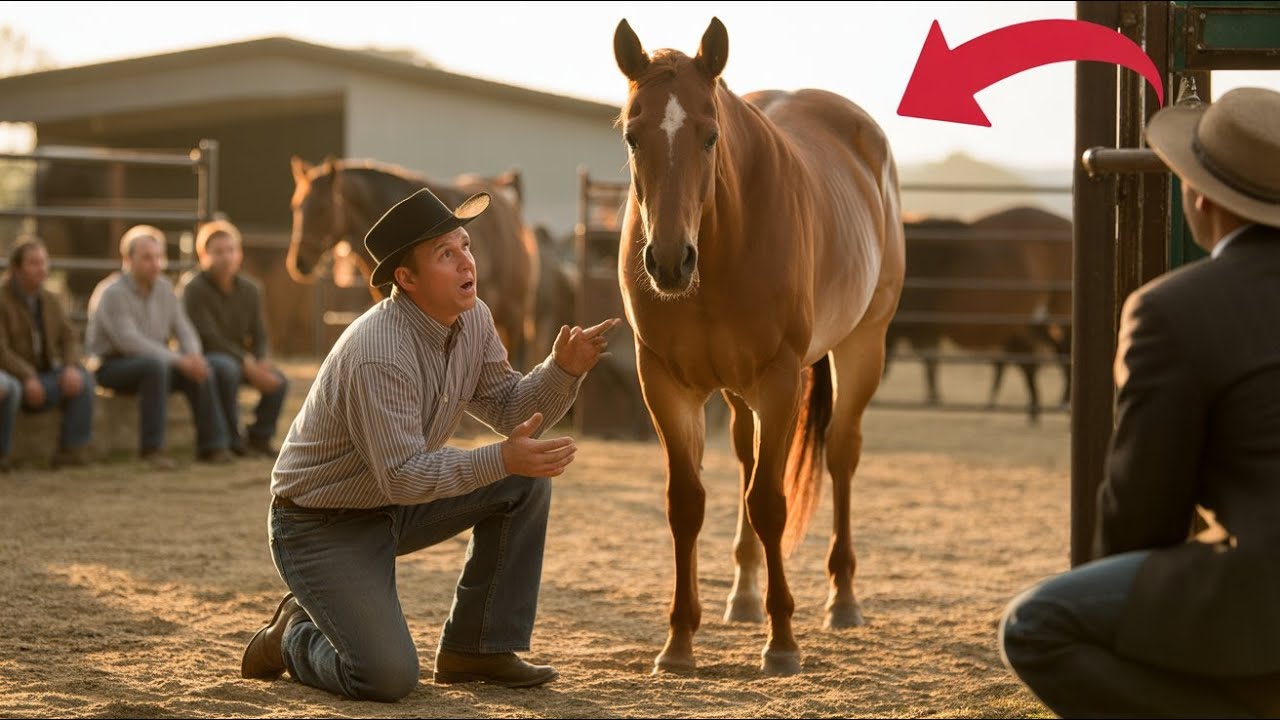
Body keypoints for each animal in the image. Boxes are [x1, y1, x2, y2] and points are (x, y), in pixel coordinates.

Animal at [614, 18, 905, 675]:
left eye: (710, 135)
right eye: (632, 136)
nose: (668, 261)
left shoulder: (778, 380)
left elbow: (770, 503)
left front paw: (783, 642)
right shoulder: (664, 382)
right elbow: (687, 504)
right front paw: (678, 643)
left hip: (863, 347)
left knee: (841, 455)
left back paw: (841, 599)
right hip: (736, 389)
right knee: (748, 460)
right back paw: (744, 596)